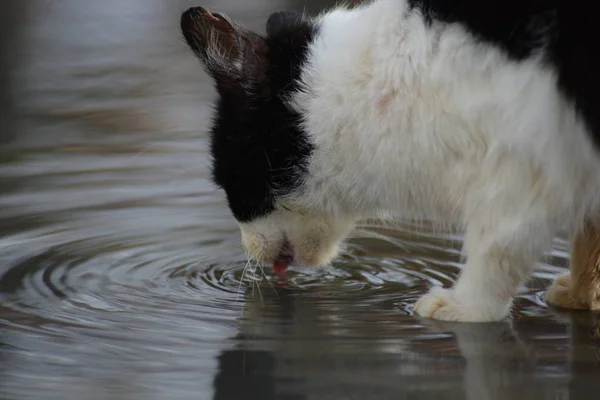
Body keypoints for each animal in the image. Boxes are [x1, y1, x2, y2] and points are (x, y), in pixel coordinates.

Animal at [180, 0, 600, 320]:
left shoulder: (521, 167)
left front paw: (463, 307)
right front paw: (579, 297)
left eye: (230, 178)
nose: (249, 251)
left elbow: (500, 246)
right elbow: (588, 237)